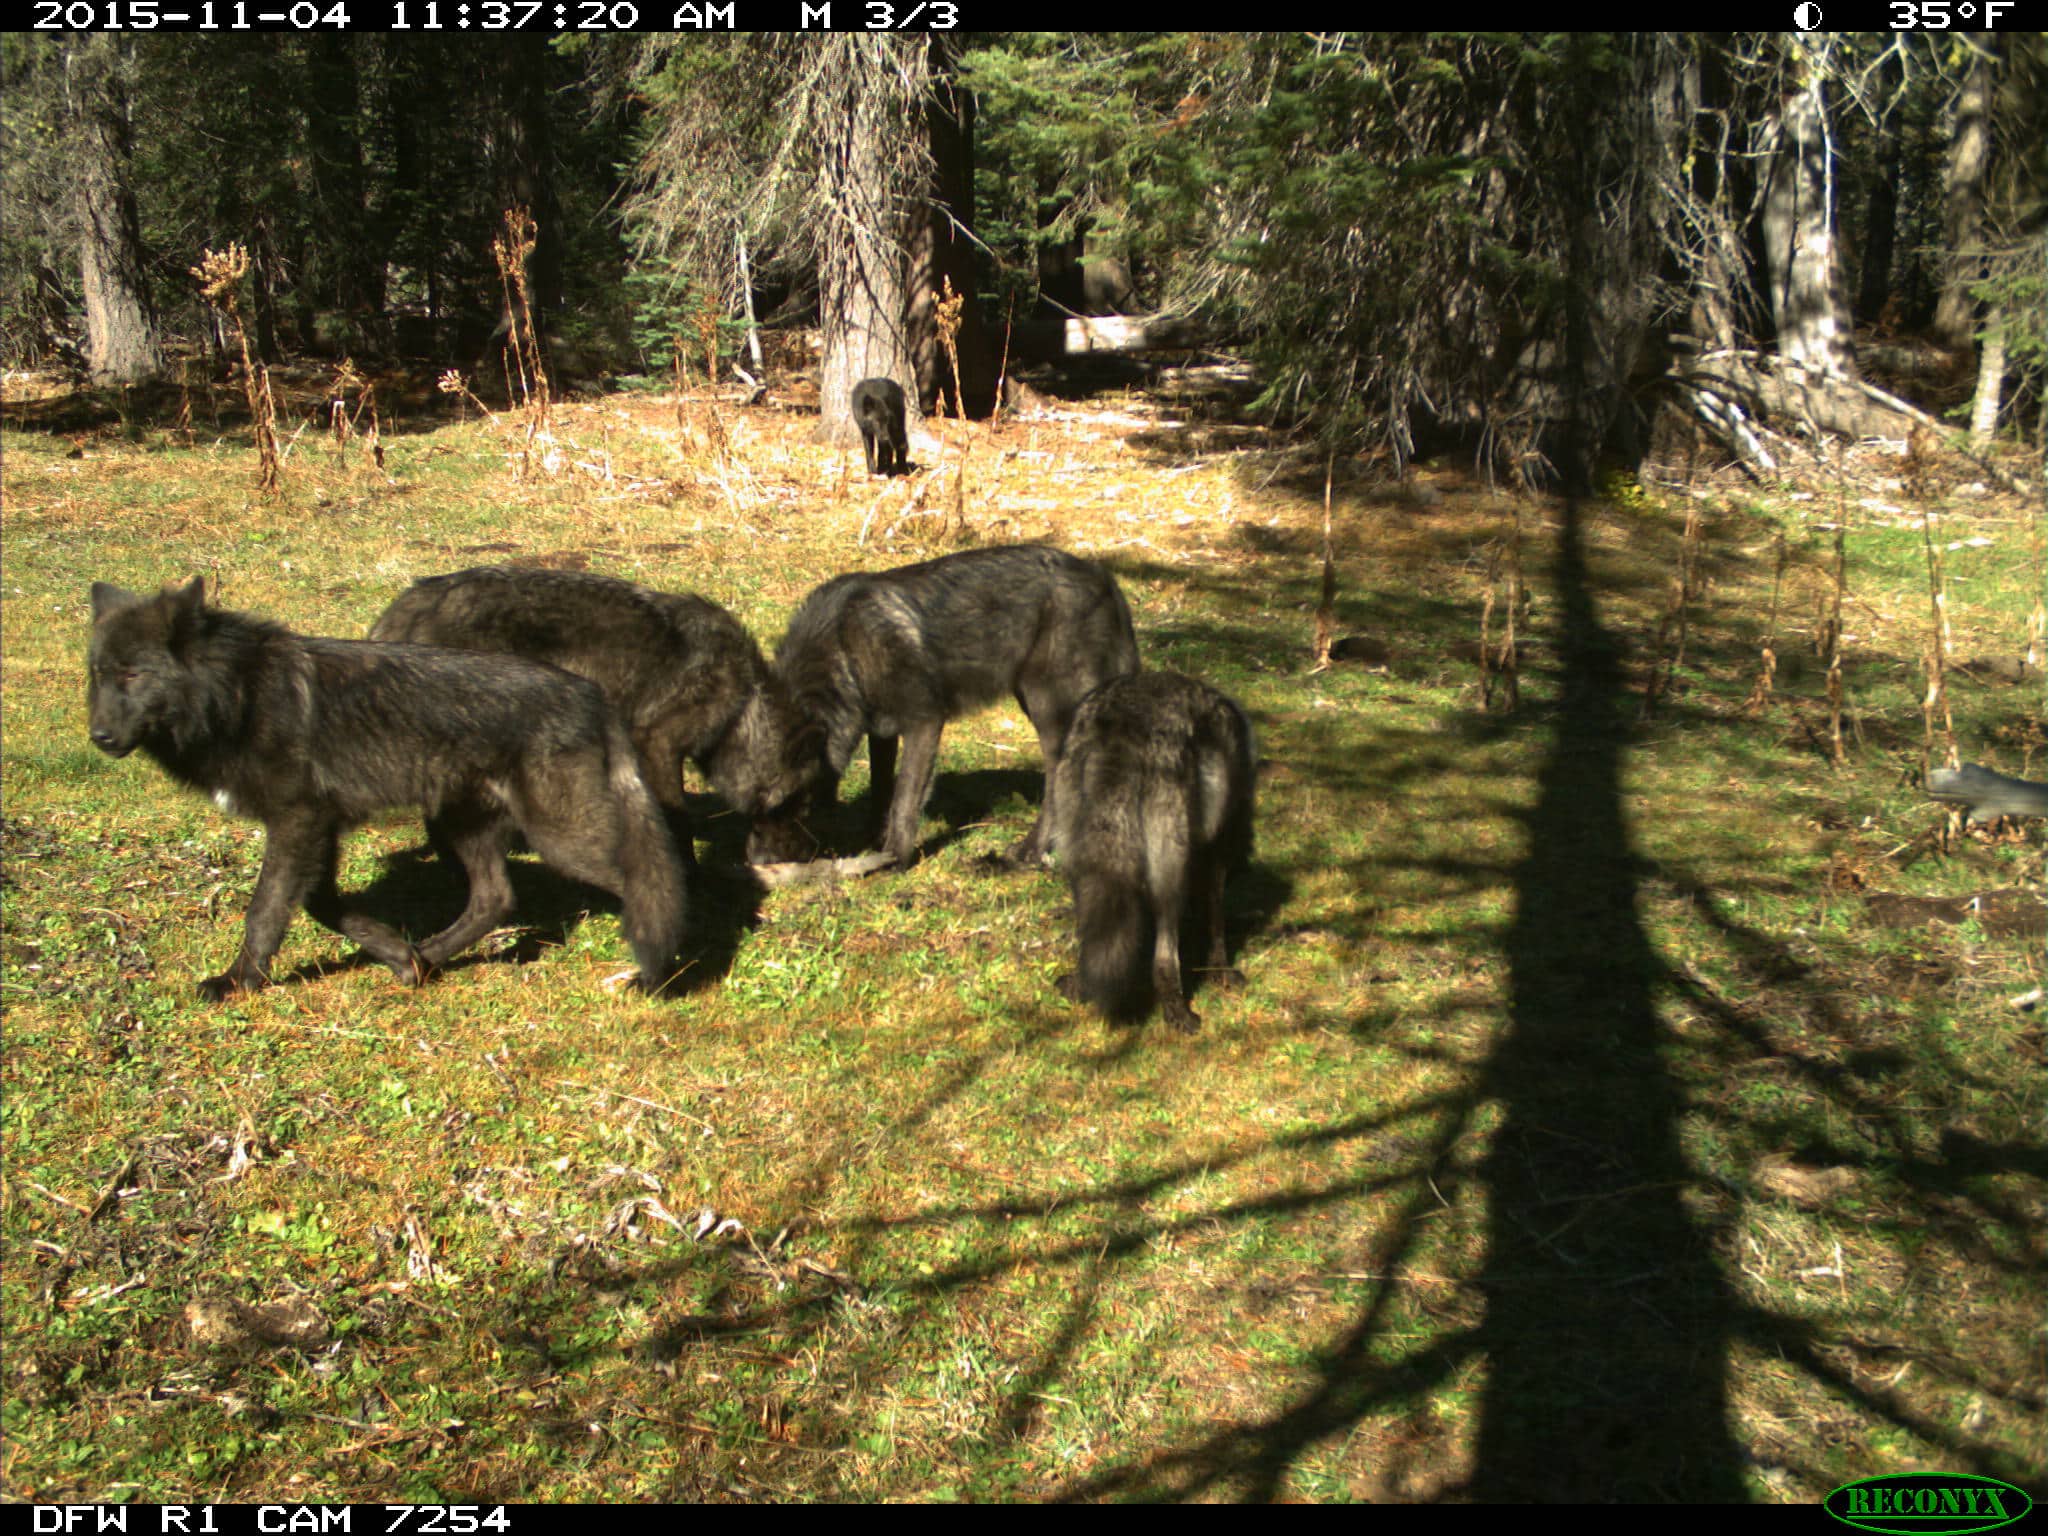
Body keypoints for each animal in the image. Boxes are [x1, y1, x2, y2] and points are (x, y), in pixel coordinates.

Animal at [88, 581, 692, 1003]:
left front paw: (237, 982)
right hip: (458, 825)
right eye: (97, 674)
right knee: (497, 899)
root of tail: (591, 694)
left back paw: (662, 974)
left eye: (133, 675)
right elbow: (321, 906)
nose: (98, 736)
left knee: (648, 884)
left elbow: (265, 913)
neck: (239, 695)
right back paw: (430, 957)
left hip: (559, 839)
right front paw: (402, 958)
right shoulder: (319, 828)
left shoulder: (297, 822)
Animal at [368, 573, 823, 872]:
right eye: (801, 807)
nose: (805, 855)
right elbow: (678, 819)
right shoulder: (656, 745)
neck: (743, 703)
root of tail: (398, 613)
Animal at [770, 548, 1146, 872]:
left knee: (1058, 779)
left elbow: (905, 799)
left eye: (790, 803)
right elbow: (882, 790)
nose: (771, 863)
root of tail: (1104, 578)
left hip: (1049, 711)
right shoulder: (882, 730)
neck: (845, 646)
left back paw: (1028, 852)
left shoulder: (924, 722)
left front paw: (895, 860)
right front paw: (875, 844)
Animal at [1048, 671, 1253, 1036]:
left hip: (1078, 864)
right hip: (1170, 878)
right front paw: (1220, 972)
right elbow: (1216, 921)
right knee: (1165, 958)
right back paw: (1178, 1012)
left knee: (1091, 931)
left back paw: (1081, 985)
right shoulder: (1217, 853)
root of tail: (1123, 723)